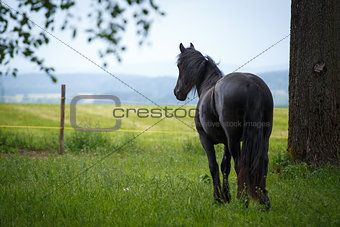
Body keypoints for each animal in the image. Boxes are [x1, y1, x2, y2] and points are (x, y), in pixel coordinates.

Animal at [175, 43, 274, 208]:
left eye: (179, 66)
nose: (177, 92)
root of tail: (252, 85)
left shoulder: (205, 139)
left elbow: (213, 166)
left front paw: (218, 198)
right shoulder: (226, 142)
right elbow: (224, 167)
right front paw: (226, 196)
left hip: (234, 140)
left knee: (240, 164)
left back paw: (242, 200)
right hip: (263, 136)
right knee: (263, 163)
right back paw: (264, 201)